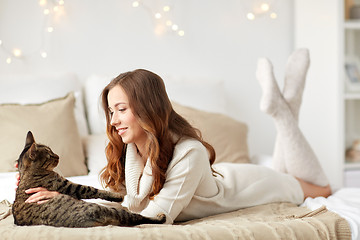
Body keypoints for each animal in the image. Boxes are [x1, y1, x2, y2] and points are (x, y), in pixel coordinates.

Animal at [11, 131, 167, 227]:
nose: (58, 156)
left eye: (52, 150)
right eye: (49, 155)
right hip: (105, 210)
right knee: (137, 218)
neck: (27, 173)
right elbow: (93, 189)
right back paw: (160, 217)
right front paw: (117, 196)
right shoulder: (67, 185)